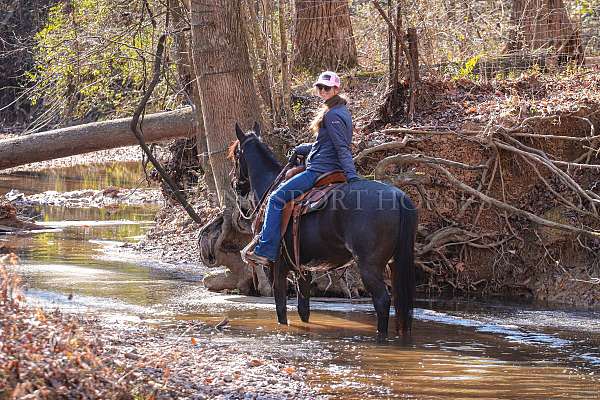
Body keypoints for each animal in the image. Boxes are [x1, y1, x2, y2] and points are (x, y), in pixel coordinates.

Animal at [231, 123, 418, 340]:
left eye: (236, 154)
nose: (236, 184)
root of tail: (398, 196)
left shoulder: (275, 268)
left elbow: (281, 311)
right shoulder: (304, 270)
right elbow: (304, 310)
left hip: (369, 267)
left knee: (382, 301)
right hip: (395, 263)